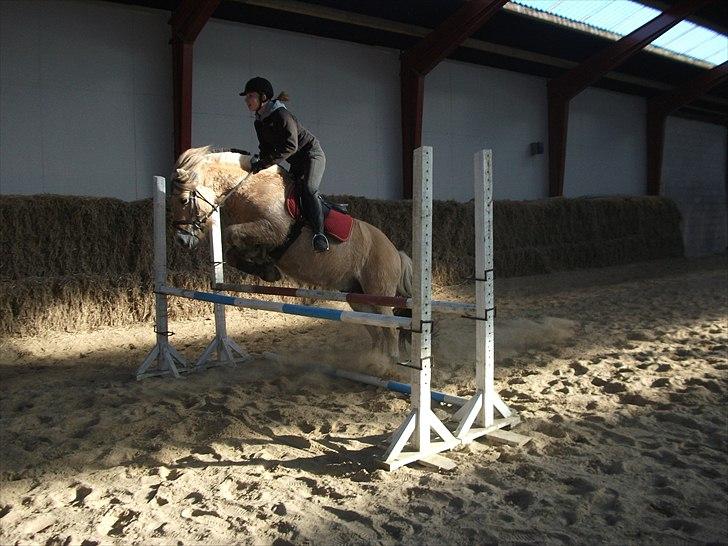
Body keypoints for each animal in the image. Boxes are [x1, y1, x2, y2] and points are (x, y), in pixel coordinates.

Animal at [167, 147, 412, 364]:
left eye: (183, 200)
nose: (181, 240)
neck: (250, 189)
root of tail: (396, 252)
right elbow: (233, 251)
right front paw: (265, 268)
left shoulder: (273, 229)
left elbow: (231, 233)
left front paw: (263, 264)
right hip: (357, 297)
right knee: (377, 329)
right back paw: (374, 360)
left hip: (378, 291)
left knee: (390, 327)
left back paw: (389, 363)